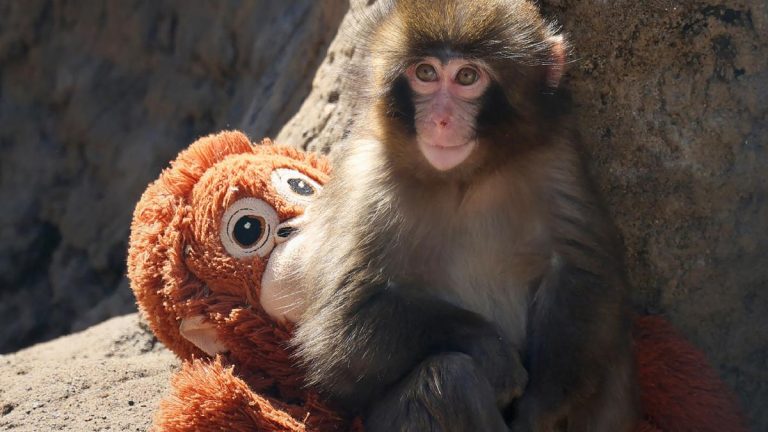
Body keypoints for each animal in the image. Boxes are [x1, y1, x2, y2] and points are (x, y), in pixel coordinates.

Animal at [290, 0, 639, 430]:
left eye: (467, 77)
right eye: (425, 73)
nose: (440, 119)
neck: (465, 178)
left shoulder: (557, 157)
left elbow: (581, 273)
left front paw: (539, 409)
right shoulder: (367, 180)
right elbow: (341, 326)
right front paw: (491, 350)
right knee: (448, 378)